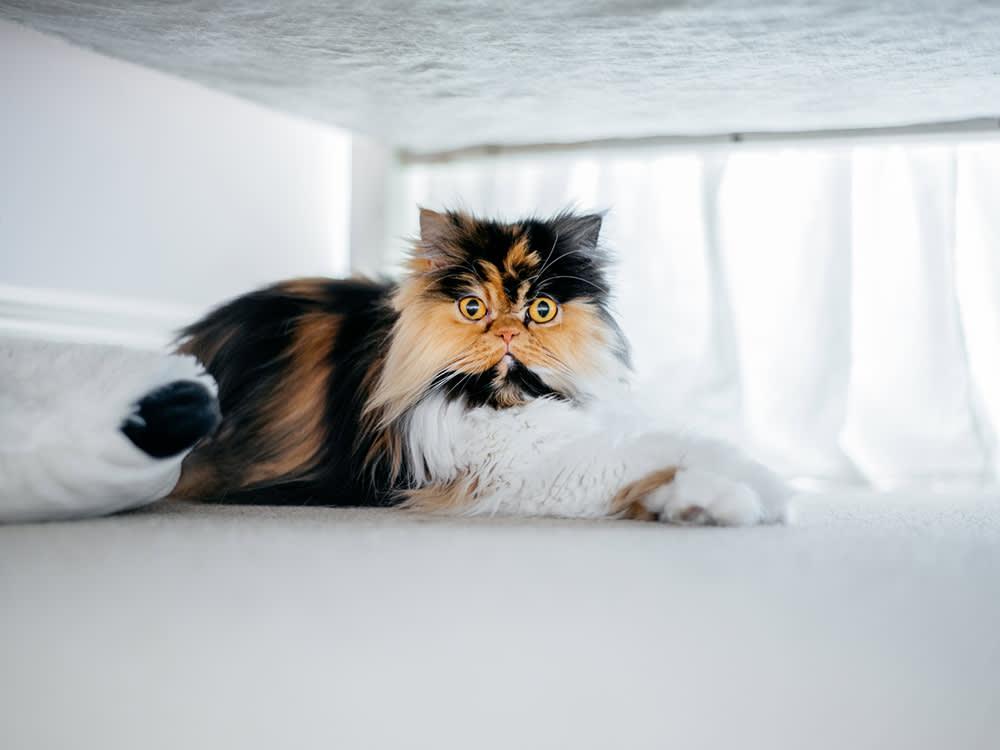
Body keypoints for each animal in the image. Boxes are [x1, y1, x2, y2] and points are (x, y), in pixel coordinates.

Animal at [158, 210, 788, 528]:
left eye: (541, 309)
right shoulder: (522, 474)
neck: (511, 403)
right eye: (472, 307)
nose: (508, 332)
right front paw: (742, 495)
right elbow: (649, 459)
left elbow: (675, 452)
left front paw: (740, 492)